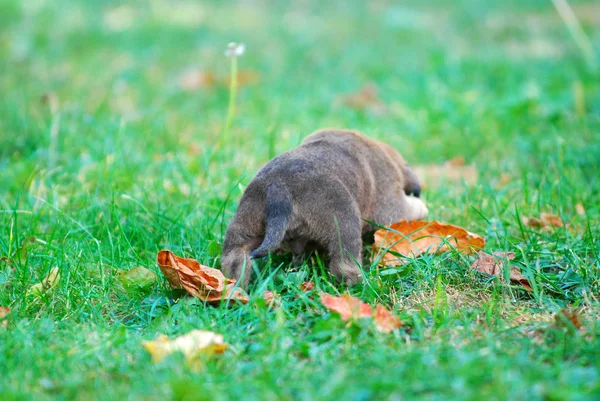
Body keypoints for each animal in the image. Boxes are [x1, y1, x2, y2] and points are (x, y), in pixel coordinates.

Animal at [221, 130, 426, 286]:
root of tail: (278, 188)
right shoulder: (390, 206)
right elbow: (412, 208)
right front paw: (423, 207)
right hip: (345, 225)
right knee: (344, 266)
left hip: (244, 224)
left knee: (234, 258)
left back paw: (235, 287)